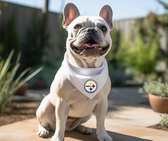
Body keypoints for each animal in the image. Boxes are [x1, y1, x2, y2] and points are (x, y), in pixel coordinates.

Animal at [36, 2, 113, 141]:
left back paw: (84, 128)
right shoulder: (62, 102)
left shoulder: (102, 102)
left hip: (87, 114)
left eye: (103, 28)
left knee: (76, 125)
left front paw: (103, 135)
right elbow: (60, 123)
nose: (91, 30)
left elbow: (101, 121)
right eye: (77, 26)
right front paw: (57, 137)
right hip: (44, 107)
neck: (86, 70)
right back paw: (44, 130)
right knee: (45, 123)